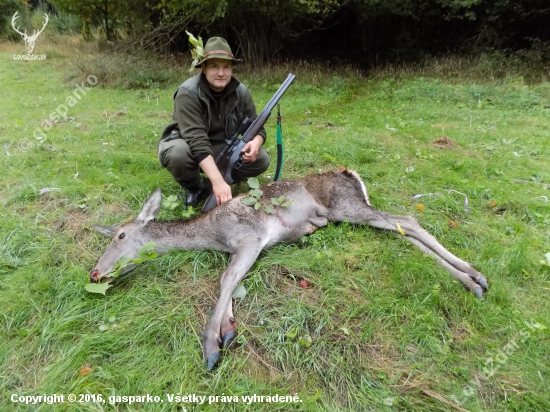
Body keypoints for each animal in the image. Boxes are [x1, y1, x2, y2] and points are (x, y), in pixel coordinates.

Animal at [91, 169, 492, 368]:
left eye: (121, 236)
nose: (95, 273)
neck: (213, 235)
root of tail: (352, 173)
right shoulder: (241, 248)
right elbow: (231, 282)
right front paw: (228, 330)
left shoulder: (251, 236)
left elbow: (224, 280)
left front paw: (210, 348)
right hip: (352, 213)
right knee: (400, 229)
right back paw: (473, 277)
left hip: (347, 206)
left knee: (407, 219)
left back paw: (475, 278)